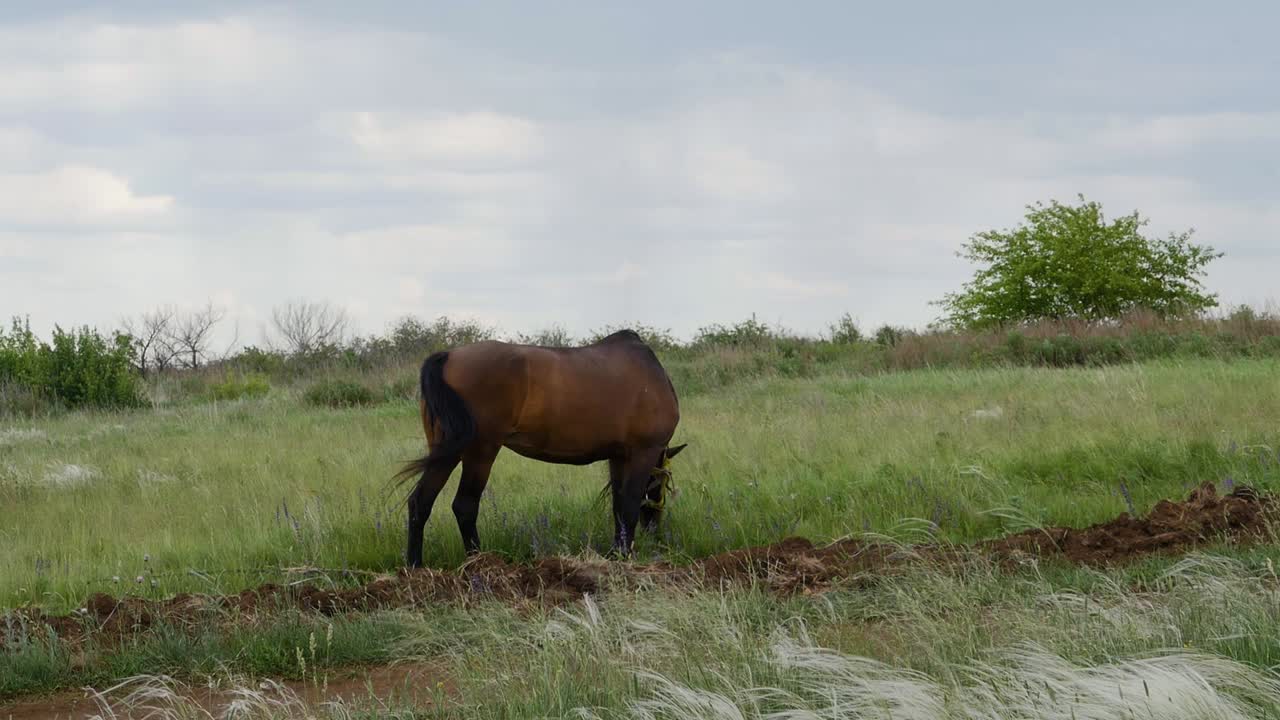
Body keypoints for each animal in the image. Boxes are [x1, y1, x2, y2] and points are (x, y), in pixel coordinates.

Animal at [394, 329, 687, 567]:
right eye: (664, 482)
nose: (654, 529)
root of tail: (449, 356)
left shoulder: (618, 457)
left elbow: (618, 507)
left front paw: (616, 554)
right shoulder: (642, 453)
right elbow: (628, 505)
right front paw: (625, 557)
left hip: (447, 451)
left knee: (421, 502)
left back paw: (415, 566)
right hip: (480, 451)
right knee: (465, 505)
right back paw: (480, 563)